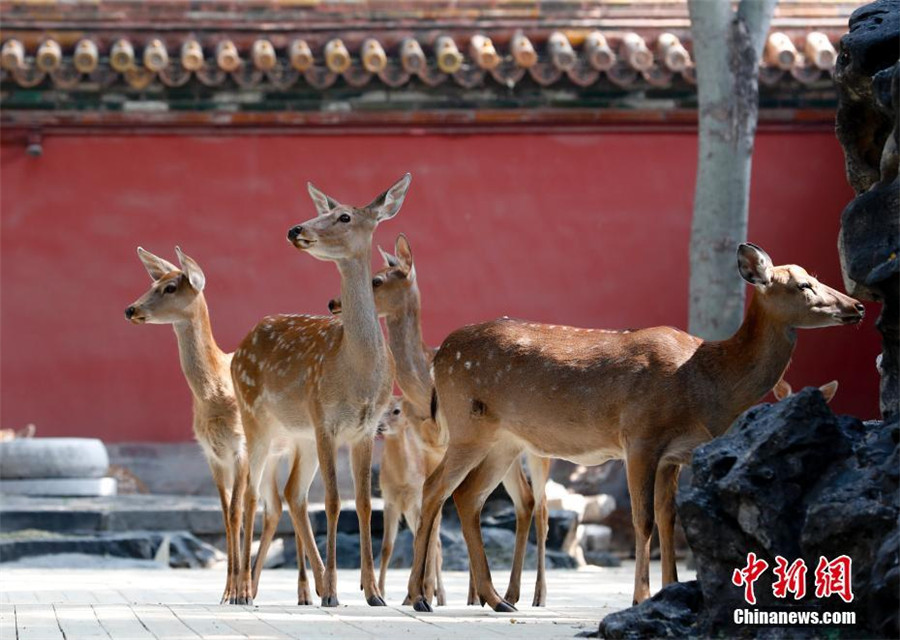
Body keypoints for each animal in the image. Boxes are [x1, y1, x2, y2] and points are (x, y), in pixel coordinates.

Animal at [234, 174, 414, 604]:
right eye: (323, 210)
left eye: (344, 216)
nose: (295, 229)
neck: (356, 371)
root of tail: (239, 347)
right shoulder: (325, 420)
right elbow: (333, 502)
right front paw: (335, 590)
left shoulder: (365, 429)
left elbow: (363, 504)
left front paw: (372, 592)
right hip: (255, 419)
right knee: (253, 494)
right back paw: (243, 591)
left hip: (297, 434)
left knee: (293, 495)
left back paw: (308, 584)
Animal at [328, 238, 552, 608]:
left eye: (377, 280)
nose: (333, 302)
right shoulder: (431, 447)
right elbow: (436, 509)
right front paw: (421, 593)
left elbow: (436, 512)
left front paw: (425, 592)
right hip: (504, 449)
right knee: (524, 502)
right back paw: (508, 593)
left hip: (537, 451)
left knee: (542, 508)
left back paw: (537, 596)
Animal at [406, 242, 864, 612]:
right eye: (803, 285)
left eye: (816, 278)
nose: (856, 307)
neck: (705, 381)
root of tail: (439, 355)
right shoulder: (641, 436)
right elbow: (643, 520)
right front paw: (641, 598)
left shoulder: (674, 454)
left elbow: (668, 520)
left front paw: (671, 591)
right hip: (468, 425)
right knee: (434, 489)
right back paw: (420, 598)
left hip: (503, 440)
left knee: (467, 497)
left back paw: (496, 599)